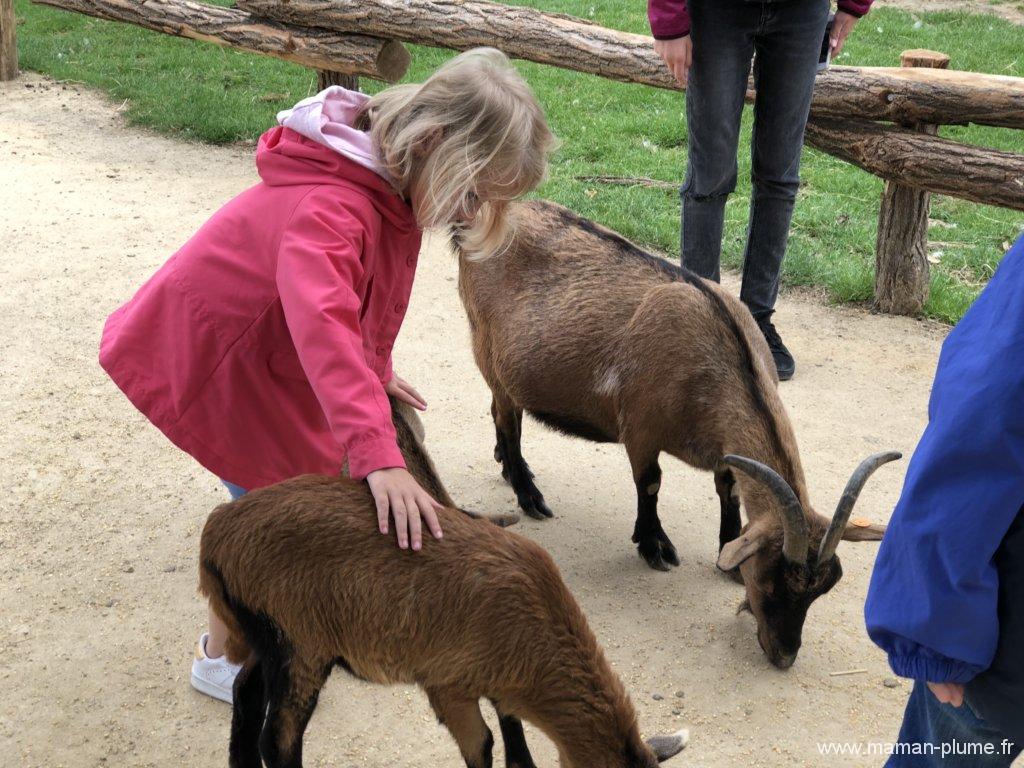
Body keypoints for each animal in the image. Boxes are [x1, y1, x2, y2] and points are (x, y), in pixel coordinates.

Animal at [199, 399, 688, 768]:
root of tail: (217, 537)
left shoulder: (494, 677)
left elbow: (511, 730)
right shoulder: (446, 684)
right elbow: (483, 745)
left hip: (270, 637)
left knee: (245, 694)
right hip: (300, 643)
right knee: (278, 740)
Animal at [454, 198, 897, 667]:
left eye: (824, 588)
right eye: (772, 578)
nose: (784, 655)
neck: (718, 358)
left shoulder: (723, 450)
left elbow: (729, 490)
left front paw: (726, 544)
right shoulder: (640, 429)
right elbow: (650, 484)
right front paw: (653, 546)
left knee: (503, 415)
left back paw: (507, 468)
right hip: (489, 350)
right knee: (508, 419)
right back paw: (529, 495)